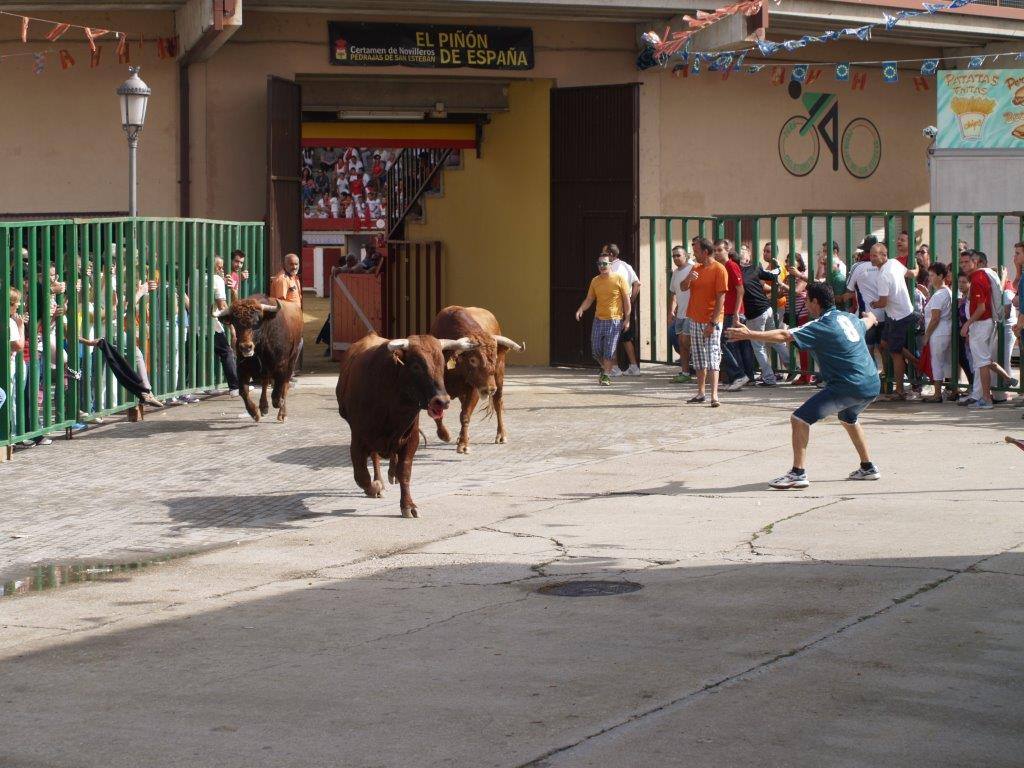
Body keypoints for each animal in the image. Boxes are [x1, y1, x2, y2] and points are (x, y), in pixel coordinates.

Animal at [211, 296, 299, 428]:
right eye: (235, 323)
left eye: (257, 322)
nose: (246, 347)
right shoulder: (242, 368)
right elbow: (243, 391)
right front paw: (254, 413)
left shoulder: (281, 366)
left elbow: (278, 392)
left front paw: (279, 403)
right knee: (265, 382)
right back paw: (263, 407)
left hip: (292, 361)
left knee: (284, 386)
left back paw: (282, 414)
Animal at [337, 333, 477, 520]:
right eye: (416, 366)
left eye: (442, 364)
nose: (442, 401)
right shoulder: (358, 441)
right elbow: (361, 476)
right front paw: (375, 487)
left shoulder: (411, 439)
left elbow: (404, 472)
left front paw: (408, 505)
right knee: (374, 458)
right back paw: (380, 482)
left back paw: (391, 473)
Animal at [430, 305, 524, 450]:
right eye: (473, 359)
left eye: (494, 357)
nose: (490, 389)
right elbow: (439, 414)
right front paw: (445, 435)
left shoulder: (474, 389)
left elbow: (465, 415)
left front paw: (463, 444)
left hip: (499, 377)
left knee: (497, 403)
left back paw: (501, 435)